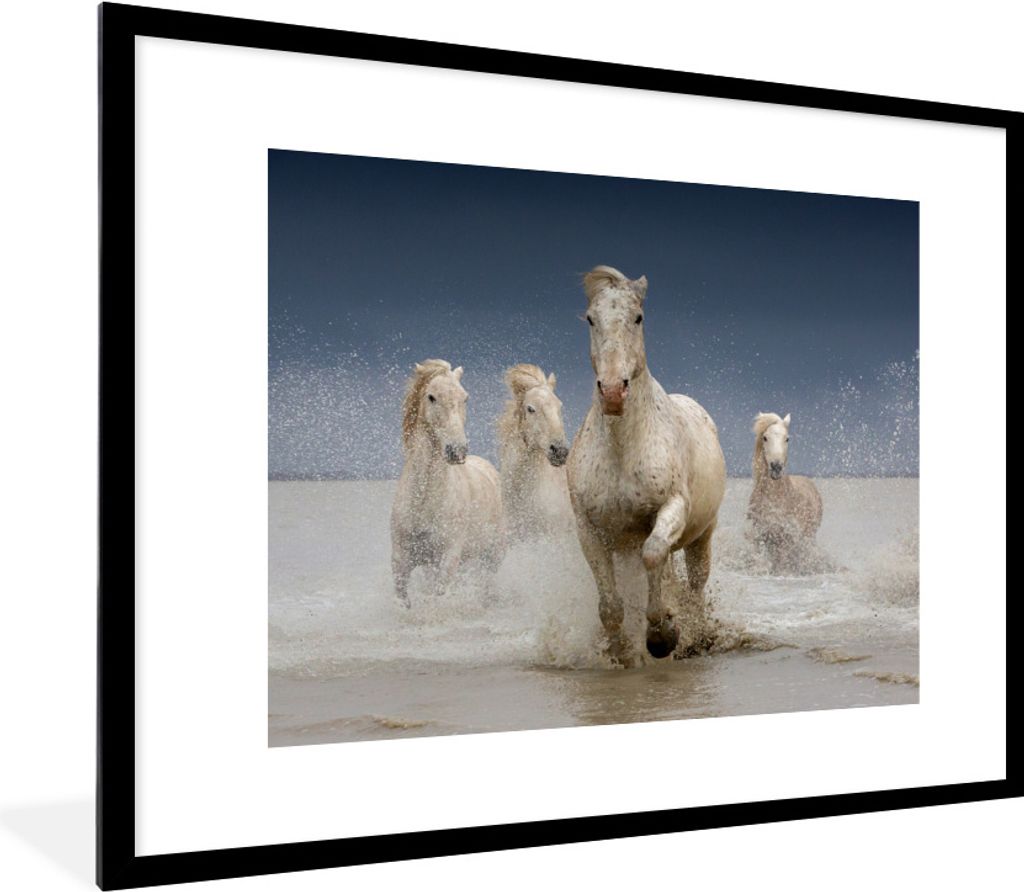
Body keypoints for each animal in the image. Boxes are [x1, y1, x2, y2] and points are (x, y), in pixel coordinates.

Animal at [390, 359, 505, 605]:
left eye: (465, 398)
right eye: (431, 397)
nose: (457, 450)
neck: (423, 502)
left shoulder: (448, 558)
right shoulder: (402, 561)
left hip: (492, 557)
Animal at [566, 266, 727, 664]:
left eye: (638, 317)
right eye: (590, 319)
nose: (612, 391)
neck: (623, 449)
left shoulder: (670, 508)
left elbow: (654, 556)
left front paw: (662, 636)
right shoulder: (589, 529)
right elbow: (610, 606)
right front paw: (618, 652)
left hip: (703, 535)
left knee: (695, 583)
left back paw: (694, 635)